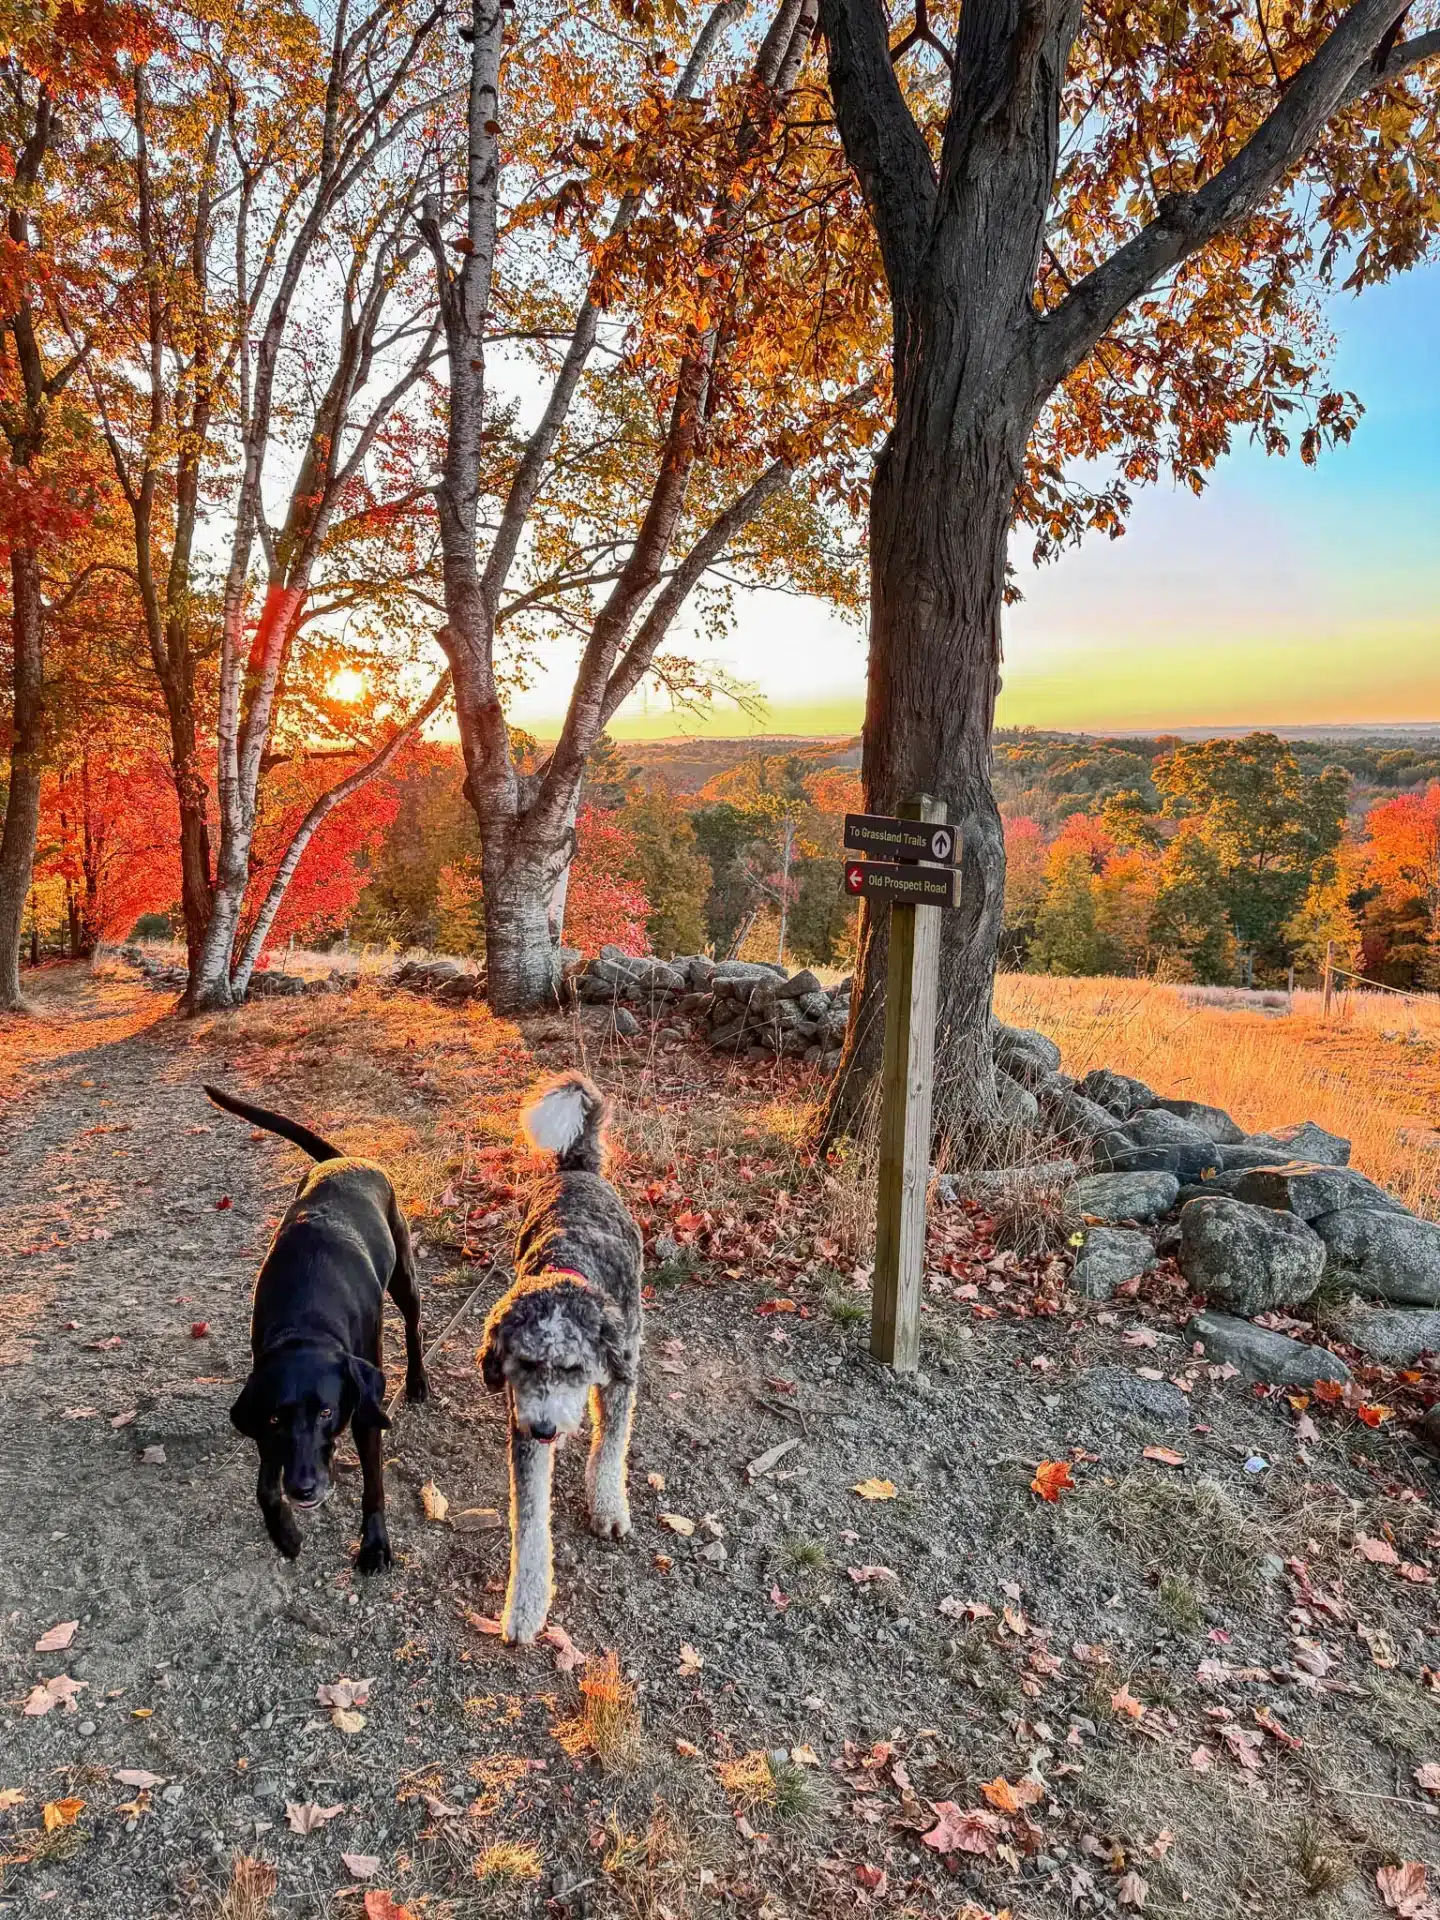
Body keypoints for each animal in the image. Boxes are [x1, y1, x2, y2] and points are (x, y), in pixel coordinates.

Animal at [205, 1090, 428, 1566]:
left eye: (327, 1412)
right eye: (276, 1417)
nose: (303, 1488)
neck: (305, 1324)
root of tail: (344, 1160)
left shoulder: (365, 1410)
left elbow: (374, 1485)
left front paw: (374, 1544)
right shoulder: (263, 1418)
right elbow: (264, 1484)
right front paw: (283, 1531)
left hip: (404, 1277)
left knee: (415, 1327)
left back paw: (418, 1381)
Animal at [481, 1075, 645, 1643]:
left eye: (573, 1368)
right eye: (526, 1364)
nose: (547, 1428)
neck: (569, 1266)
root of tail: (579, 1168)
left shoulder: (621, 1374)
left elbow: (612, 1445)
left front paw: (609, 1504)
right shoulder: (521, 1422)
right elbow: (530, 1522)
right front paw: (524, 1606)